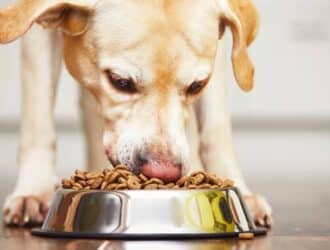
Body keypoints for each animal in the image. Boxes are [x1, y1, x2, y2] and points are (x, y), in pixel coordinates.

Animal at [0, 0, 270, 227]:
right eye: (120, 82)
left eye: (196, 86)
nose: (162, 171)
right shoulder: (36, 36)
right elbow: (38, 120)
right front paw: (34, 191)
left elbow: (216, 130)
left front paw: (238, 189)